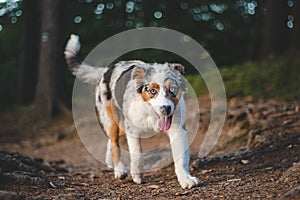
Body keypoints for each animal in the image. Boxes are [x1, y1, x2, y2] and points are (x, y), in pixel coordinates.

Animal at [63, 34, 199, 189]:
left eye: (172, 89)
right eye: (153, 91)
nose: (166, 109)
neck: (150, 113)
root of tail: (106, 70)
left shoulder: (177, 129)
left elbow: (181, 157)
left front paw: (186, 179)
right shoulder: (132, 129)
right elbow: (137, 154)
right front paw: (137, 175)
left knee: (111, 141)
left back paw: (110, 162)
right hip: (111, 120)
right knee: (114, 143)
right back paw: (119, 170)